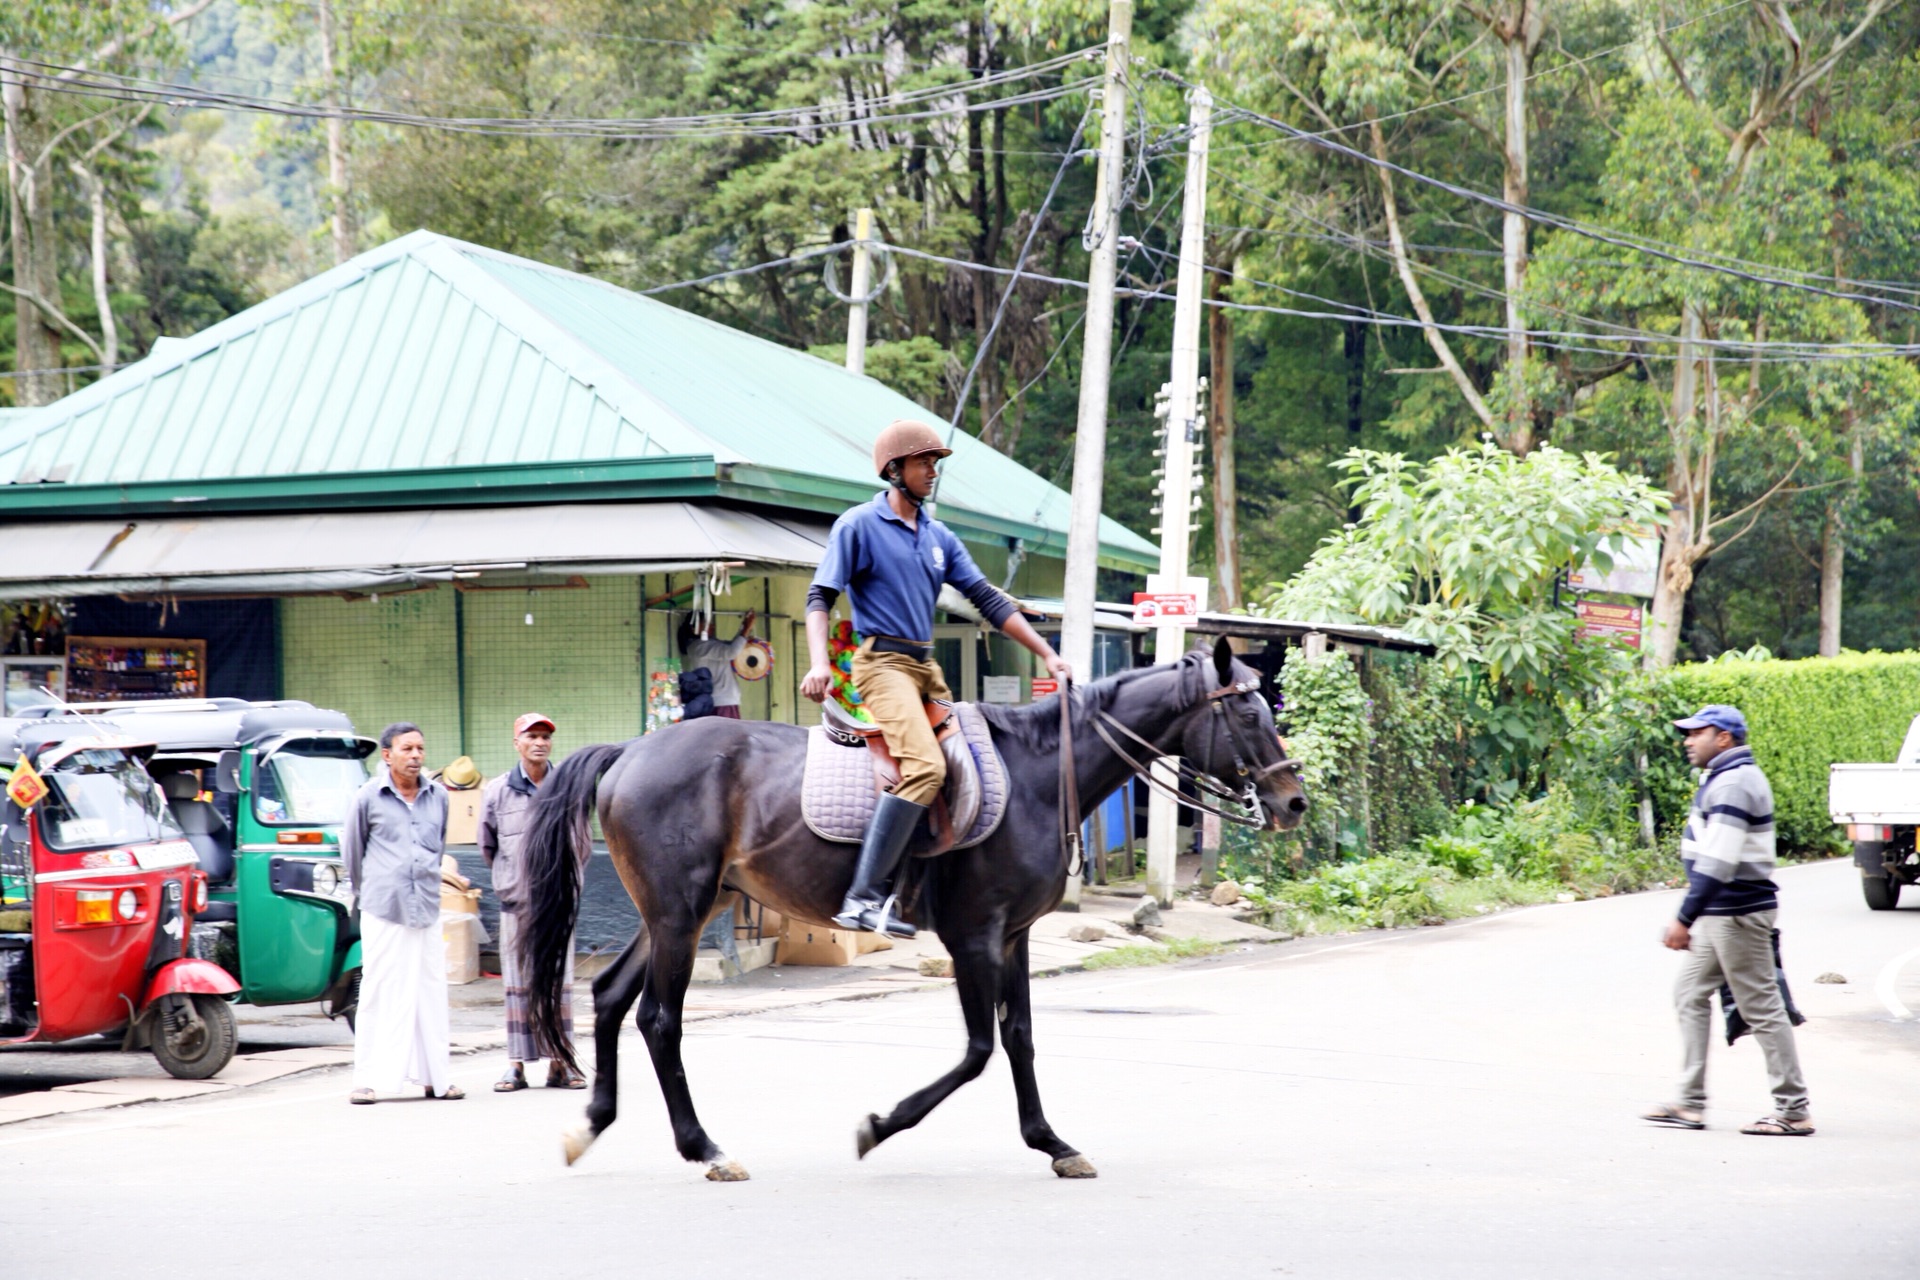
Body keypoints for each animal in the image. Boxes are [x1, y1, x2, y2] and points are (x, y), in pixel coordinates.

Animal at [518, 640, 1313, 1182]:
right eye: (1247, 710)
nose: (1293, 801)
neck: (1036, 772)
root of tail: (630, 752)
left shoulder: (1015, 938)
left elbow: (1020, 1039)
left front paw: (1053, 1143)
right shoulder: (974, 938)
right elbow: (979, 1049)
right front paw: (879, 1125)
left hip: (679, 912)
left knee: (610, 997)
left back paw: (592, 1126)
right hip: (681, 916)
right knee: (659, 1019)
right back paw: (704, 1147)